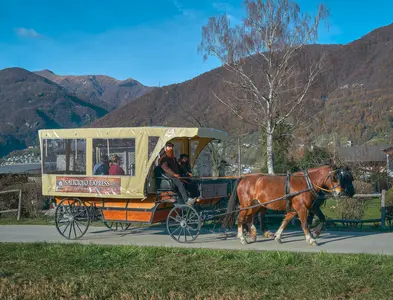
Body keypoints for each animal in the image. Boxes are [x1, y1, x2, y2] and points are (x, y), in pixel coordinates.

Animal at [222, 165, 354, 245]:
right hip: (246, 204)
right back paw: (242, 237)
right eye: (334, 178)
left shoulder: (298, 209)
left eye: (343, 178)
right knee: (241, 218)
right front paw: (311, 238)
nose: (340, 193)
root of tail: (243, 178)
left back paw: (253, 233)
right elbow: (304, 223)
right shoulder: (302, 208)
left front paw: (278, 236)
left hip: (256, 205)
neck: (307, 183)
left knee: (249, 218)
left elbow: (286, 222)